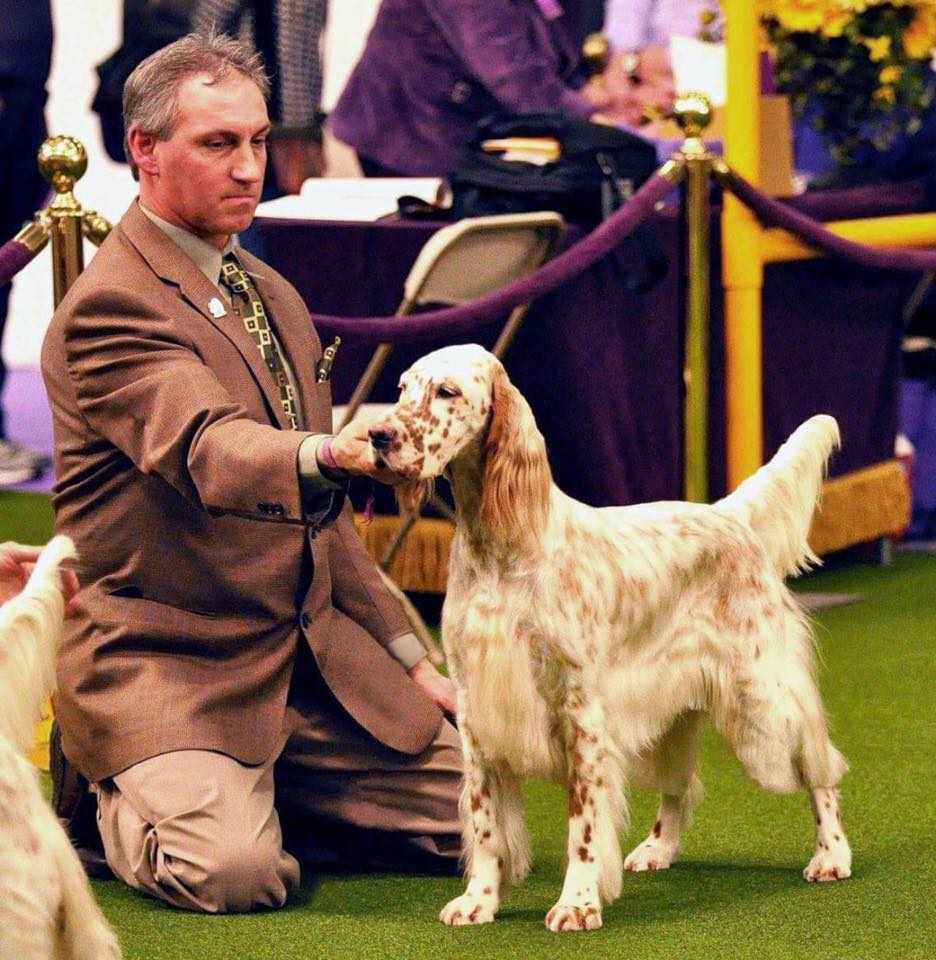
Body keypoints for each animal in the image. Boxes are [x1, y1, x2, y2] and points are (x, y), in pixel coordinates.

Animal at [370, 344, 852, 928]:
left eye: (447, 392)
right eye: (401, 388)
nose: (377, 436)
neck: (502, 549)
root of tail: (726, 514)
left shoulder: (582, 711)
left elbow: (582, 826)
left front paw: (576, 903)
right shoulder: (475, 706)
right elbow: (485, 824)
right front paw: (479, 900)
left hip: (763, 691)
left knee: (820, 765)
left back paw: (832, 854)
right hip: (676, 702)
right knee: (682, 782)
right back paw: (658, 847)